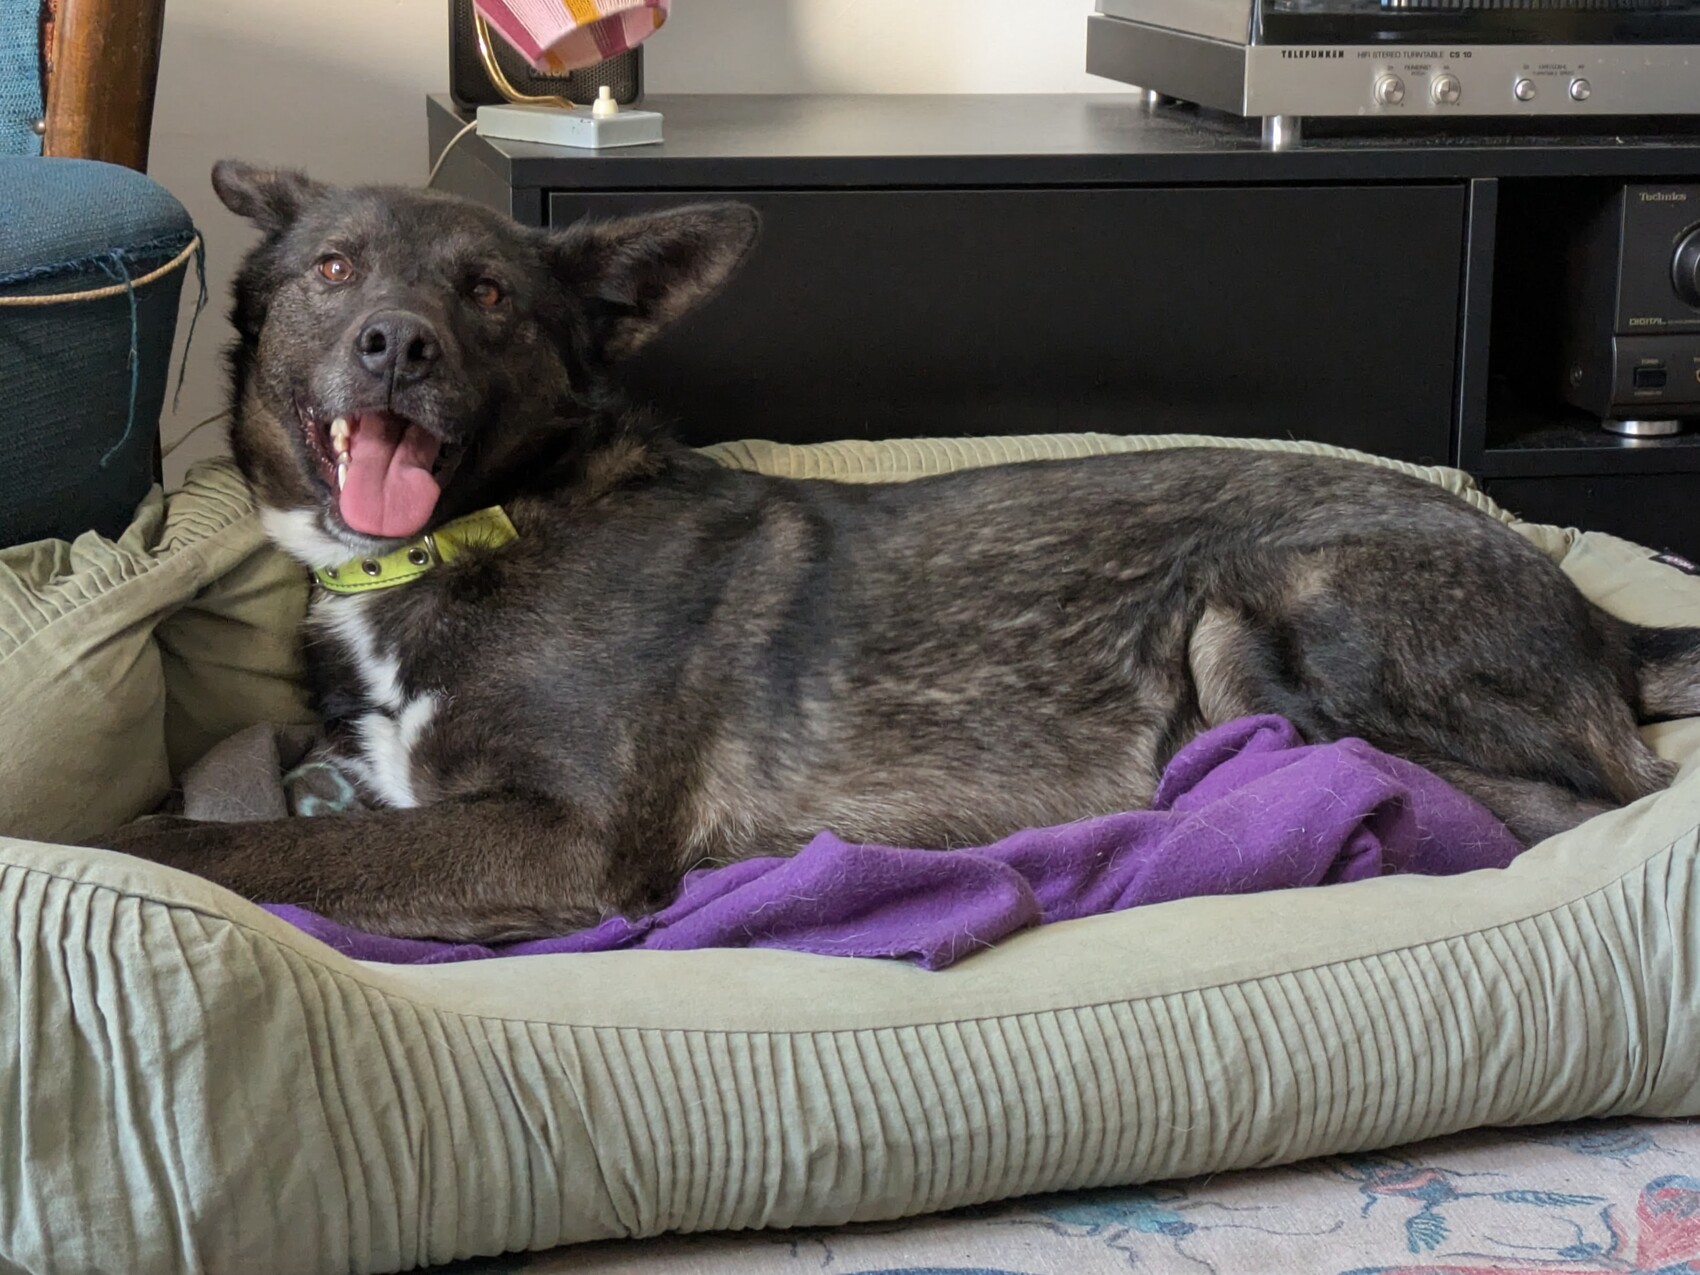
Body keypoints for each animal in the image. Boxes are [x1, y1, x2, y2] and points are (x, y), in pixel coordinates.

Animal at [100, 160, 1700, 943]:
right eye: (333, 271)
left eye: (488, 293)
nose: (395, 346)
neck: (484, 527)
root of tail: (1601, 620)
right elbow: (307, 802)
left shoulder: (564, 836)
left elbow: (253, 844)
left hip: (1270, 613)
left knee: (1551, 813)